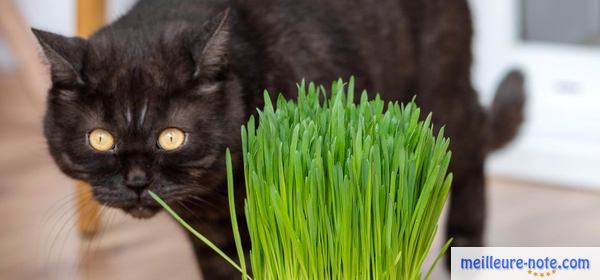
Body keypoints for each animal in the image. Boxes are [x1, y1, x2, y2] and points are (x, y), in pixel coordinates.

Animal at [31, 1, 524, 278]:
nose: (136, 182)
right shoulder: (211, 239)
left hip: (441, 89)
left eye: (171, 137)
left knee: (468, 146)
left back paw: (466, 244)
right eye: (100, 139)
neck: (215, 194)